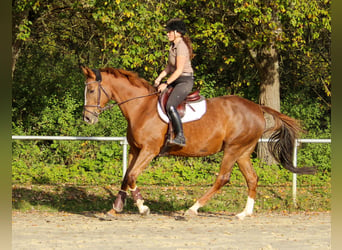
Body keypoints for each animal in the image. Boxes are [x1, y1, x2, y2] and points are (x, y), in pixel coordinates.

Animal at [81, 66, 316, 219]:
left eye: (91, 90)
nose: (87, 119)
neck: (141, 108)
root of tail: (257, 107)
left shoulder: (149, 150)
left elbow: (131, 176)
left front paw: (142, 208)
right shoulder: (136, 150)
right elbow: (126, 176)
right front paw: (115, 209)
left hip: (233, 149)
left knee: (223, 178)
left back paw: (192, 209)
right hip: (243, 152)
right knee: (252, 178)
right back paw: (244, 213)